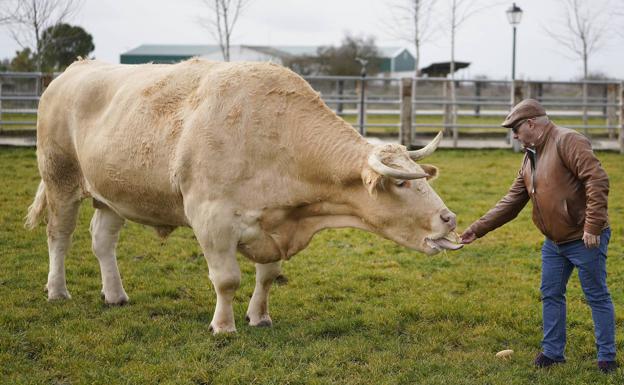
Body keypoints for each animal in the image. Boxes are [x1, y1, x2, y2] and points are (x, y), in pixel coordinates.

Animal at [25, 58, 458, 332]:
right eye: (401, 183)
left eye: (423, 177)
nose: (450, 219)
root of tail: (75, 70)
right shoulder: (211, 220)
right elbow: (227, 279)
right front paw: (224, 326)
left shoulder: (275, 225)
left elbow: (267, 277)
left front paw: (259, 317)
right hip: (60, 179)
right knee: (59, 236)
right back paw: (57, 290)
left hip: (113, 194)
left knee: (102, 241)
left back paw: (115, 295)